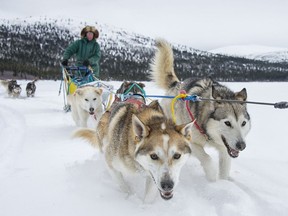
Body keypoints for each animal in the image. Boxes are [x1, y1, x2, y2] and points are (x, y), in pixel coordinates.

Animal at [150, 38, 251, 181]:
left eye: (243, 123)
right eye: (227, 123)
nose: (241, 145)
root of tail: (177, 84)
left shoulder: (225, 149)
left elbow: (225, 168)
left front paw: (223, 182)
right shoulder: (191, 142)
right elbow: (206, 158)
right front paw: (212, 177)